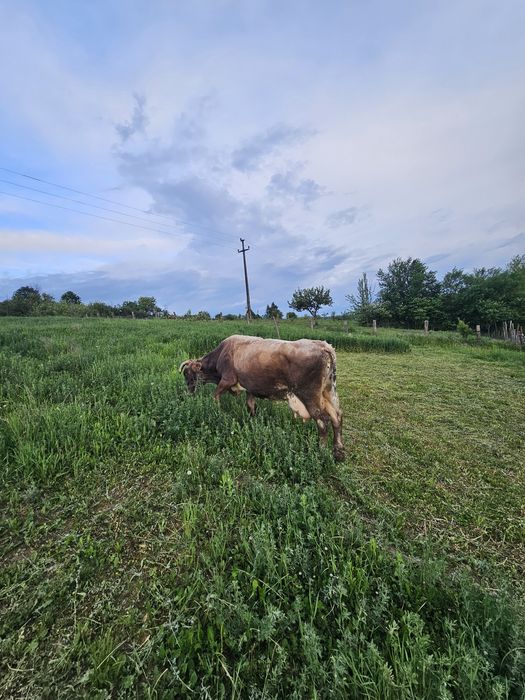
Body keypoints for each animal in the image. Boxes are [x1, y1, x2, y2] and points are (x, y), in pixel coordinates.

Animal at [179, 334, 345, 461]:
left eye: (187, 373)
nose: (188, 391)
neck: (221, 355)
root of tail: (323, 345)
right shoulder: (250, 388)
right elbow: (250, 406)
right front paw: (252, 422)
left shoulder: (227, 380)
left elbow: (215, 396)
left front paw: (217, 411)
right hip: (329, 392)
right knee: (337, 416)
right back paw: (338, 450)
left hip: (309, 395)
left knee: (322, 420)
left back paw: (322, 451)